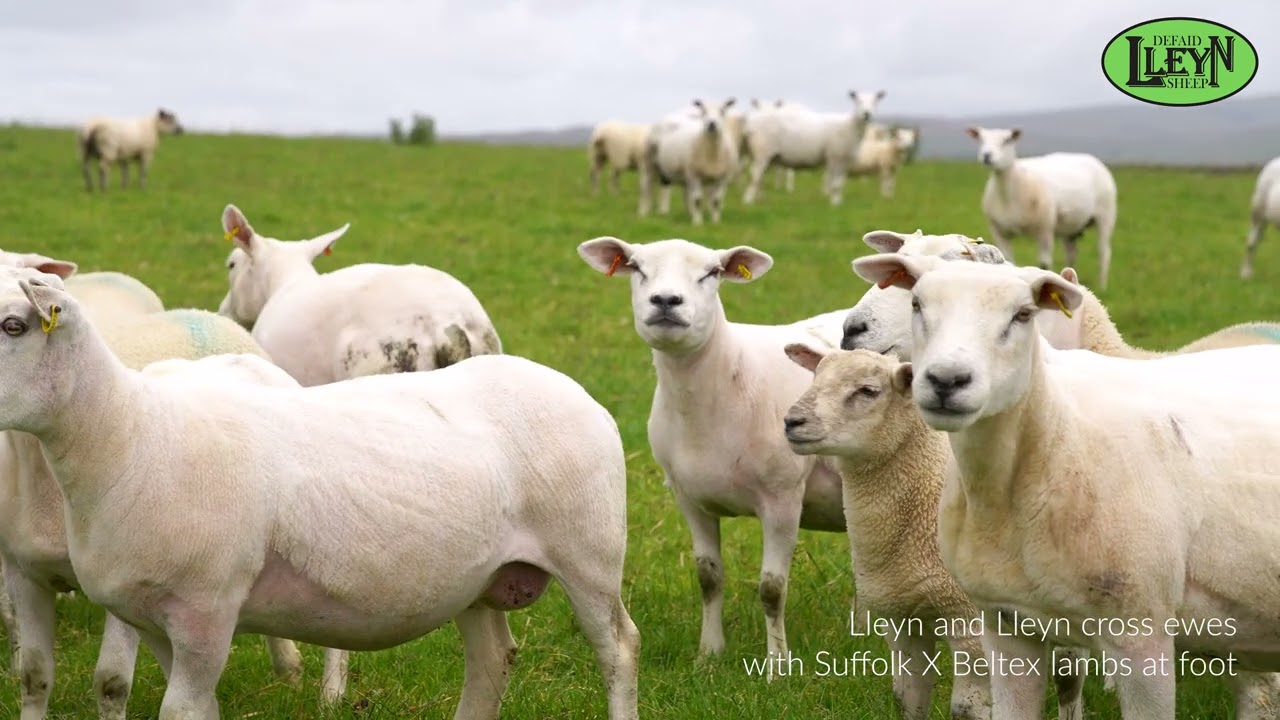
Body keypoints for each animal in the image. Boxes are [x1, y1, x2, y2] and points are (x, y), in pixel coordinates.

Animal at [0, 265, 640, 720]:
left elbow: (175, 709)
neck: (129, 435)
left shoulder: (206, 613)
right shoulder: (157, 623)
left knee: (619, 650)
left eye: (14, 324)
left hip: (589, 555)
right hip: (481, 578)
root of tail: (574, 390)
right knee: (491, 663)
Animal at [577, 235, 848, 680]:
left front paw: (777, 668)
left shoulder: (783, 498)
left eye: (711, 272)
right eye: (637, 268)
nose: (666, 300)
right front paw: (709, 654)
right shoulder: (690, 499)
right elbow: (708, 577)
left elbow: (772, 588)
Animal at [741, 90, 885, 206]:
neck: (849, 126)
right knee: (755, 175)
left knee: (760, 177)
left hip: (765, 155)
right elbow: (835, 184)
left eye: (875, 101)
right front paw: (834, 204)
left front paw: (837, 202)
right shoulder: (835, 157)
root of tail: (751, 122)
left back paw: (761, 199)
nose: (867, 114)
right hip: (762, 151)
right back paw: (748, 201)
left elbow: (839, 183)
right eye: (858, 101)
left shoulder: (845, 160)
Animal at [965, 126, 1117, 291]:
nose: (987, 156)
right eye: (981, 139)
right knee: (1071, 253)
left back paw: (1102, 286)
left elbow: (1044, 265)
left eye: (1007, 140)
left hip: (1106, 215)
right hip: (1071, 227)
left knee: (1104, 252)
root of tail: (1091, 158)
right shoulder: (1000, 232)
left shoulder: (1044, 229)